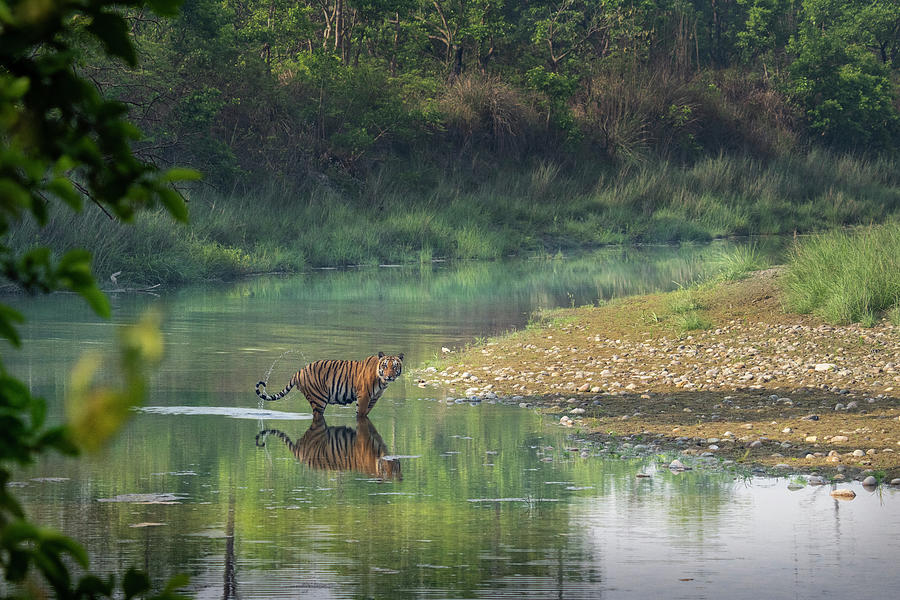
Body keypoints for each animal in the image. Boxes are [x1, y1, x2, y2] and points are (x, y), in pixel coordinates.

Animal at [255, 352, 406, 418]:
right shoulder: (364, 396)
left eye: (394, 366)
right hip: (318, 399)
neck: (382, 382)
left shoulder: (374, 398)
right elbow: (361, 414)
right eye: (385, 366)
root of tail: (299, 371)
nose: (389, 376)